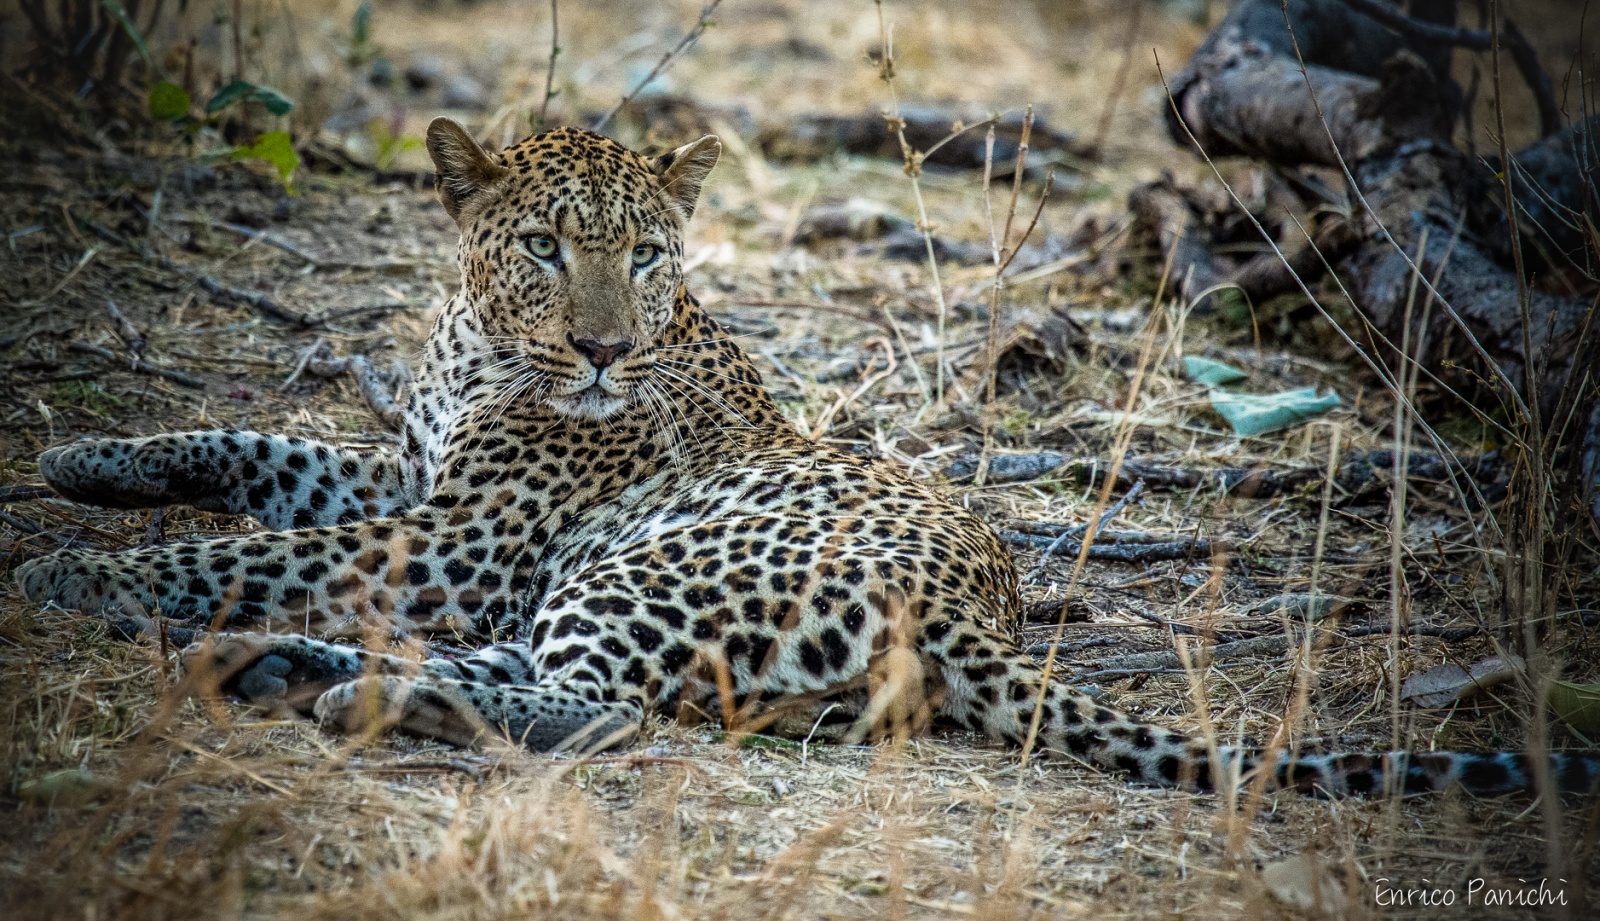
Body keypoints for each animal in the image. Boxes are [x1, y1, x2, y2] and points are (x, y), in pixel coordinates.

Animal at [16, 118, 1598, 798]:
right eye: (547, 247)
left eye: (648, 255)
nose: (604, 351)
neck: (478, 338)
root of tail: (984, 612)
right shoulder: (409, 483)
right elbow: (253, 450)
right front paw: (90, 461)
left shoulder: (449, 542)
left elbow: (241, 543)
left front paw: (70, 577)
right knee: (539, 682)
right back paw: (278, 668)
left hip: (646, 573)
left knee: (596, 713)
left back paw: (326, 687)